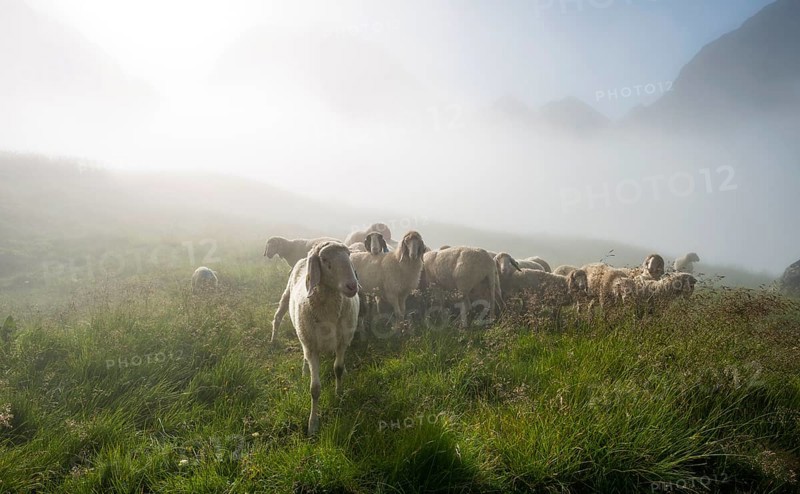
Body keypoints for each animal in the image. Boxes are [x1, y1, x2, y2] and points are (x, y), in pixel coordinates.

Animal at [270, 241, 359, 435]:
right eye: (324, 259)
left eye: (349, 255)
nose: (352, 286)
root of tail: (305, 257)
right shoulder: (312, 347)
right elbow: (315, 389)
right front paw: (313, 424)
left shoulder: (342, 342)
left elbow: (338, 369)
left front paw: (339, 395)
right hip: (289, 303)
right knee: (278, 318)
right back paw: (276, 344)